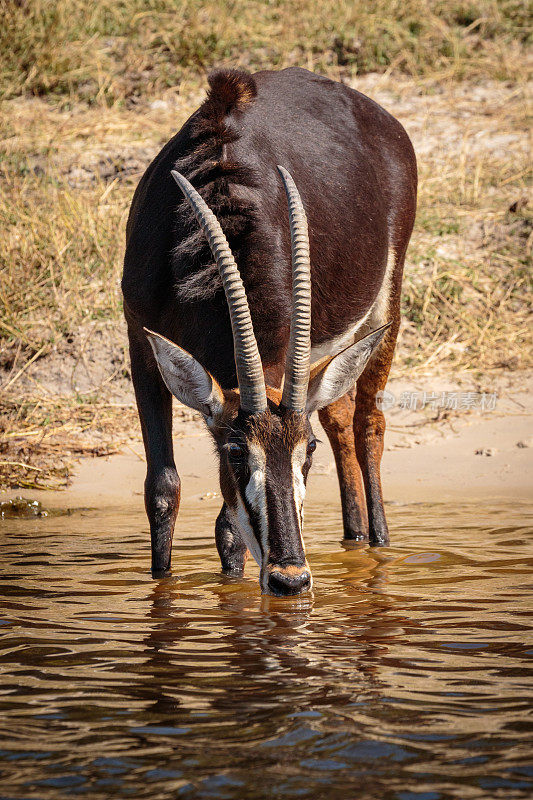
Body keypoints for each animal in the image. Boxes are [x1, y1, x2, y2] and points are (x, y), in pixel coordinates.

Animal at [122, 67, 418, 592]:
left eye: (306, 452)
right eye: (236, 452)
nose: (291, 577)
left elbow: (228, 526)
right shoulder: (139, 337)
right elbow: (162, 489)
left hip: (388, 296)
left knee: (368, 421)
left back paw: (378, 545)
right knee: (337, 412)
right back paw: (354, 538)